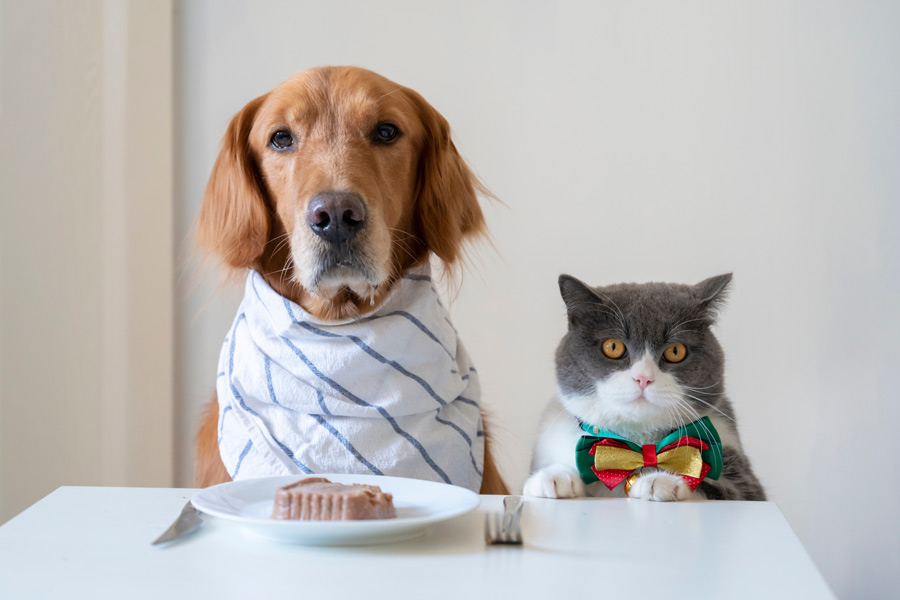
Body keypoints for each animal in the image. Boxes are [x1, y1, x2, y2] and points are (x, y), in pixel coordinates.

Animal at [528, 274, 768, 500]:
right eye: (612, 347)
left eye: (675, 351)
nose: (643, 378)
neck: (638, 444)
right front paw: (554, 477)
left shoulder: (743, 477)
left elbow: (713, 489)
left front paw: (661, 481)